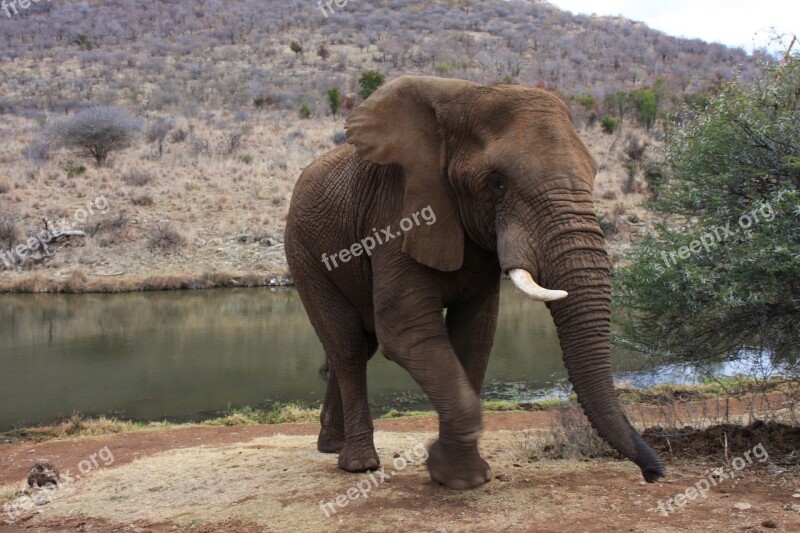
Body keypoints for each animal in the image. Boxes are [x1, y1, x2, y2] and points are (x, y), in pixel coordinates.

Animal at [284, 74, 664, 486]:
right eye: (496, 184)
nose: (653, 474)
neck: (465, 95)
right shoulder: (396, 208)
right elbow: (407, 332)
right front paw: (450, 472)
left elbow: (474, 334)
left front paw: (461, 477)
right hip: (303, 253)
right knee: (348, 345)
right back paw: (359, 464)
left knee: (357, 345)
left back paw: (331, 447)